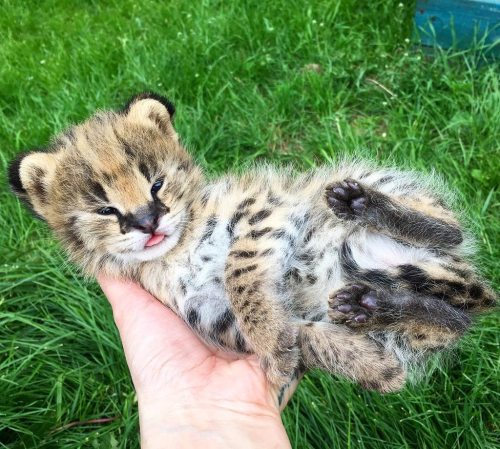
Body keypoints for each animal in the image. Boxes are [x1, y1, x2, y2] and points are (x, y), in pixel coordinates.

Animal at [8, 92, 496, 400]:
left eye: (157, 183)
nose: (148, 222)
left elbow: (239, 272)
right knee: (452, 317)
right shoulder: (209, 314)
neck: (176, 250)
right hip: (423, 309)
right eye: (105, 209)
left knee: (451, 233)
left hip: (371, 190)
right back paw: (371, 304)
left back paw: (363, 207)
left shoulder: (263, 209)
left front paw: (279, 352)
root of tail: (470, 286)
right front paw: (368, 367)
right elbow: (303, 333)